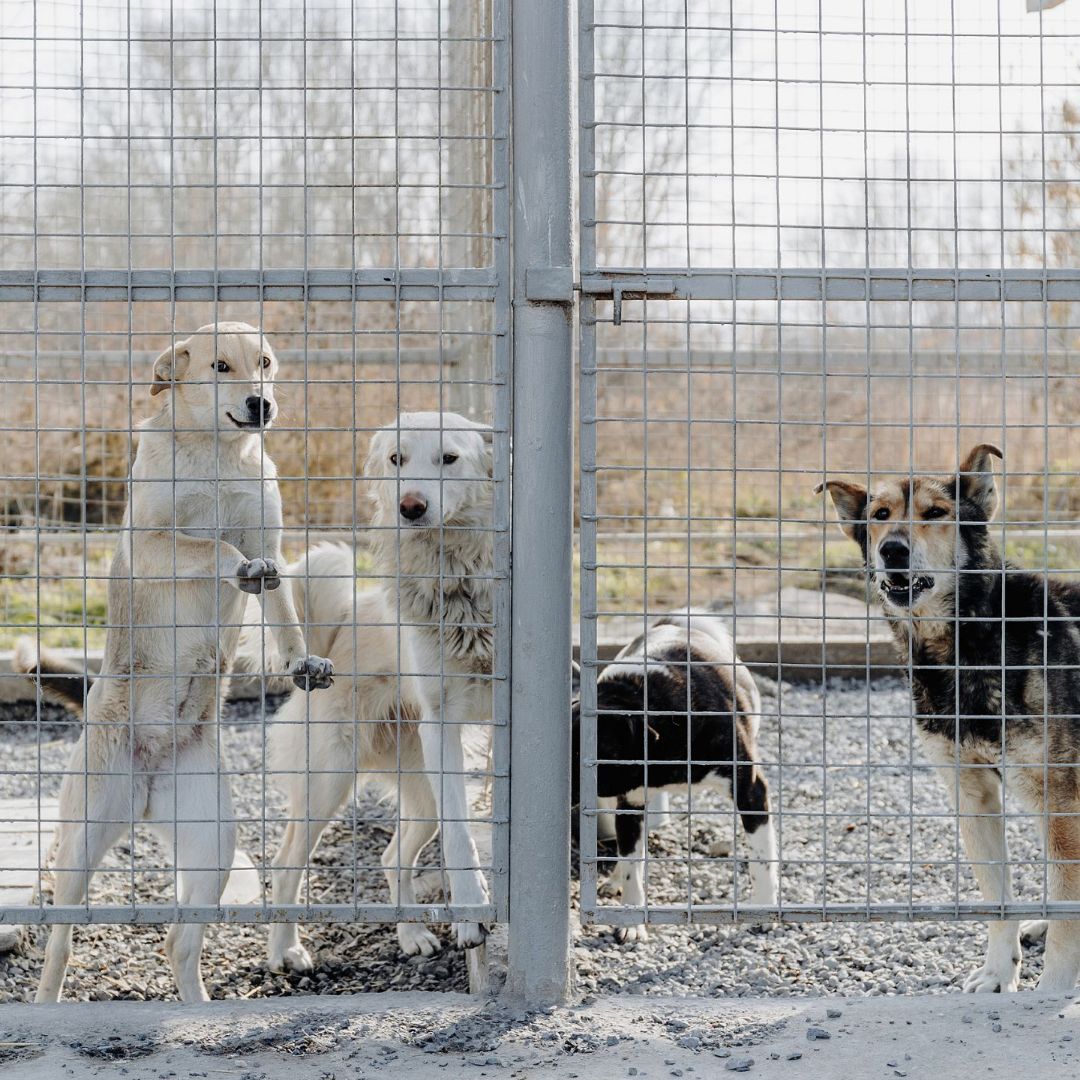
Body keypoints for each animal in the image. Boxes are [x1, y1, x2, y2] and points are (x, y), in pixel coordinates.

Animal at [13, 319, 332, 1002]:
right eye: (219, 367)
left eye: (265, 363)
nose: (261, 405)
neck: (217, 455)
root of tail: (148, 778)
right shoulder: (155, 541)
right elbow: (213, 547)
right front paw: (237, 567)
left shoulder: (272, 539)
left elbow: (285, 613)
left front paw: (303, 663)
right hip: (80, 847)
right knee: (59, 943)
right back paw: (50, 999)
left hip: (215, 845)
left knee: (177, 943)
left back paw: (200, 1008)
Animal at [574, 613, 777, 941]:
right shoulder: (630, 804)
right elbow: (631, 864)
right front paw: (632, 922)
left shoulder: (751, 791)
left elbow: (762, 861)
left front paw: (764, 910)